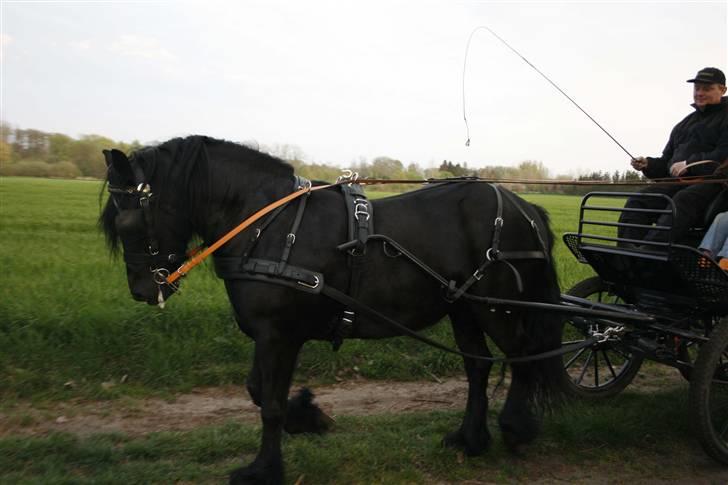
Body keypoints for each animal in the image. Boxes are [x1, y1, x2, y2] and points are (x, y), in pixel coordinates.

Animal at [100, 135, 564, 484]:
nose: (142, 291)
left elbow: (269, 403)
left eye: (128, 222)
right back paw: (470, 438)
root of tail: (524, 207)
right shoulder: (268, 334)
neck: (266, 227)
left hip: (498, 309)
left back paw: (516, 428)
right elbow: (257, 390)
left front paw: (264, 469)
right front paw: (309, 417)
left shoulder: (279, 335)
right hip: (464, 308)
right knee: (478, 366)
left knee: (522, 357)